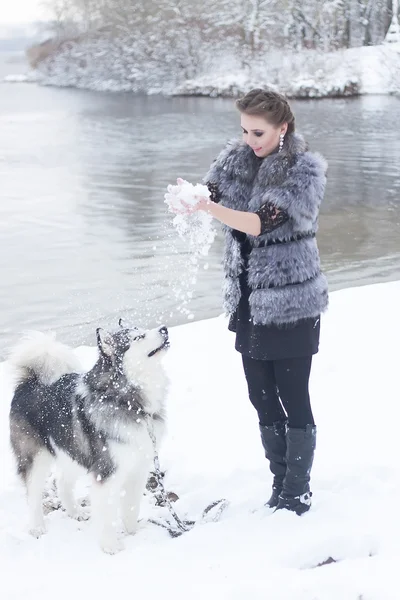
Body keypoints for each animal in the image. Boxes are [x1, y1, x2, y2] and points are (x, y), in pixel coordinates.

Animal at [9, 324, 169, 552]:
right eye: (138, 337)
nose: (164, 329)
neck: (129, 403)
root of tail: (29, 382)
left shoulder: (138, 466)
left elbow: (131, 507)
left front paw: (134, 533)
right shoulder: (106, 471)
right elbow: (108, 513)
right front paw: (111, 546)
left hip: (73, 447)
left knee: (62, 481)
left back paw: (75, 512)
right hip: (36, 457)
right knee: (33, 493)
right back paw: (37, 527)